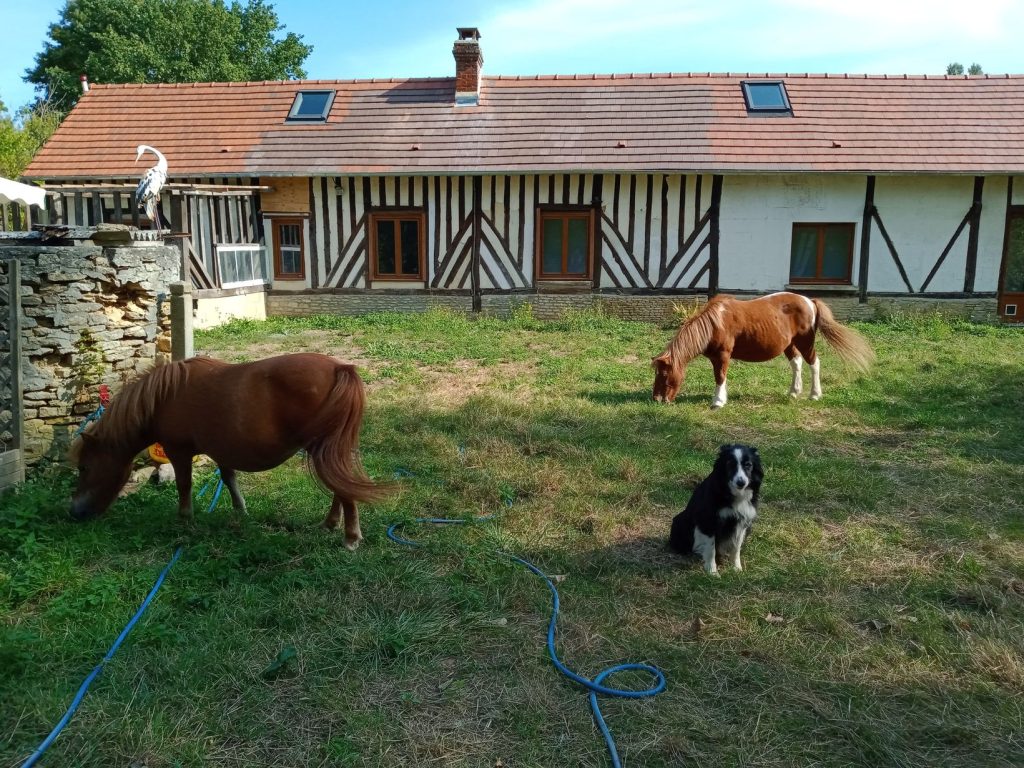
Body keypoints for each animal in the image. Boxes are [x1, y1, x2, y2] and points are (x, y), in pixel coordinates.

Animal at [68, 352, 387, 548]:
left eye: (84, 467)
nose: (75, 512)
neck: (164, 396)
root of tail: (339, 367)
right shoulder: (221, 449)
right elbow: (229, 478)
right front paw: (240, 512)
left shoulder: (178, 450)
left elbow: (184, 485)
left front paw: (185, 519)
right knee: (340, 486)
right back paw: (331, 524)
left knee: (342, 489)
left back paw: (350, 536)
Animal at [651, 290, 876, 409]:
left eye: (664, 375)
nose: (657, 400)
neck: (716, 323)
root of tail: (809, 301)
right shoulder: (716, 357)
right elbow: (721, 377)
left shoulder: (723, 355)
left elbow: (720, 377)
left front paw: (718, 401)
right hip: (790, 344)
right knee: (796, 364)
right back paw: (793, 392)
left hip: (806, 342)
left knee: (814, 364)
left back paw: (814, 394)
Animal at [667, 444, 765, 577]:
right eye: (730, 464)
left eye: (748, 465)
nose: (741, 482)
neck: (732, 493)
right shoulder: (708, 521)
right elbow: (711, 549)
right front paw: (712, 572)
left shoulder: (743, 522)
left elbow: (736, 548)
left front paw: (736, 568)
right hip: (680, 521)